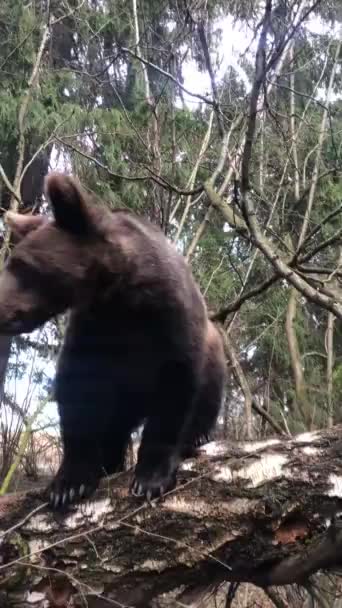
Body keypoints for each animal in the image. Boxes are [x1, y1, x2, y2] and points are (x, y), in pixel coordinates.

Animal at [0, 172, 226, 508]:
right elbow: (78, 392)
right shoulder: (94, 328)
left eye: (23, 265)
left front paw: (151, 477)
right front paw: (69, 483)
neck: (118, 292)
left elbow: (176, 389)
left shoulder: (170, 319)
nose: (0, 306)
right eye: (13, 262)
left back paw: (197, 435)